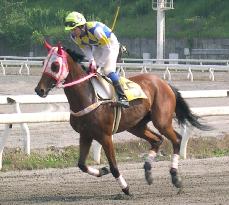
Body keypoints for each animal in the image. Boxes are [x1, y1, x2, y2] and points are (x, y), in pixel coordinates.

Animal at [35, 41, 208, 195]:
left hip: (162, 121)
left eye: (55, 65)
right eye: (43, 62)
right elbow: (81, 165)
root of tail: (164, 83)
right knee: (157, 140)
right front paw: (102, 170)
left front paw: (126, 189)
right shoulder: (85, 135)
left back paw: (175, 177)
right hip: (136, 126)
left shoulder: (105, 136)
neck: (88, 96)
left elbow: (114, 166)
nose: (39, 90)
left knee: (177, 139)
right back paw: (148, 171)